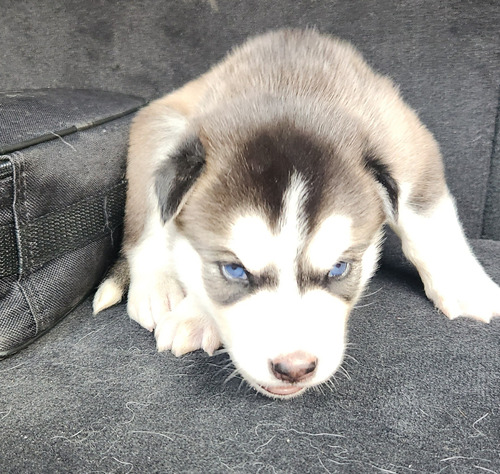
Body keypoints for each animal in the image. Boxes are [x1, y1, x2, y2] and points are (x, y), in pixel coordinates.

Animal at [94, 29, 500, 398]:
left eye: (339, 268)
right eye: (234, 270)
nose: (294, 368)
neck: (291, 93)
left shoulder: (406, 146)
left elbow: (425, 218)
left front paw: (465, 286)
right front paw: (195, 312)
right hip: (162, 125)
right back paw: (157, 285)